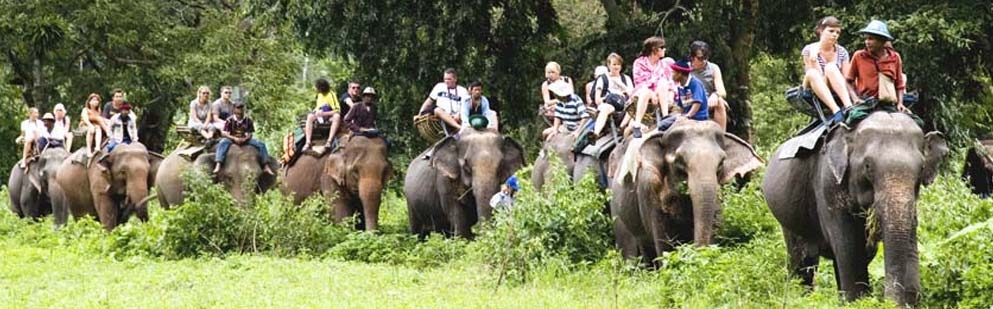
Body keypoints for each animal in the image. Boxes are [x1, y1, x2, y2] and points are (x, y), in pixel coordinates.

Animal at [764, 111, 948, 306]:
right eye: (867, 166)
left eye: (921, 168)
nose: (888, 302)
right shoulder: (828, 184)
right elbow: (849, 247)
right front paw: (858, 302)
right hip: (788, 217)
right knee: (802, 261)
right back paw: (801, 297)